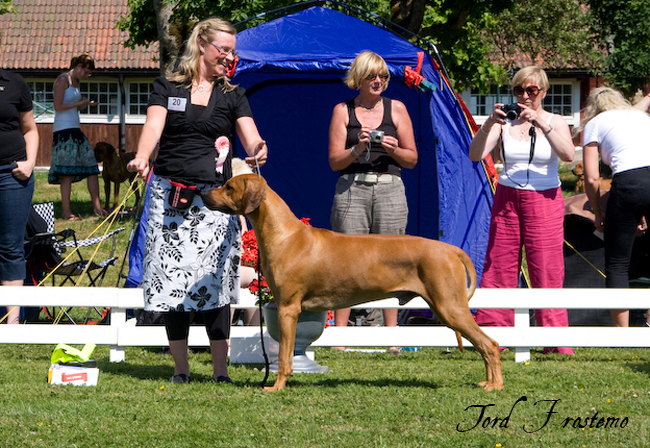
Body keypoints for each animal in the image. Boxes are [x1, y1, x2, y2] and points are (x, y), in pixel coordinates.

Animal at [202, 175, 502, 392]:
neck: (285, 234)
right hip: (447, 307)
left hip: (450, 307)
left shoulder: (288, 309)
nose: (203, 193)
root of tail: (450, 249)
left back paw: (495, 386)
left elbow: (285, 357)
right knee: (485, 345)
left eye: (228, 187)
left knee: (490, 344)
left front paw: (276, 387)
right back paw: (487, 382)